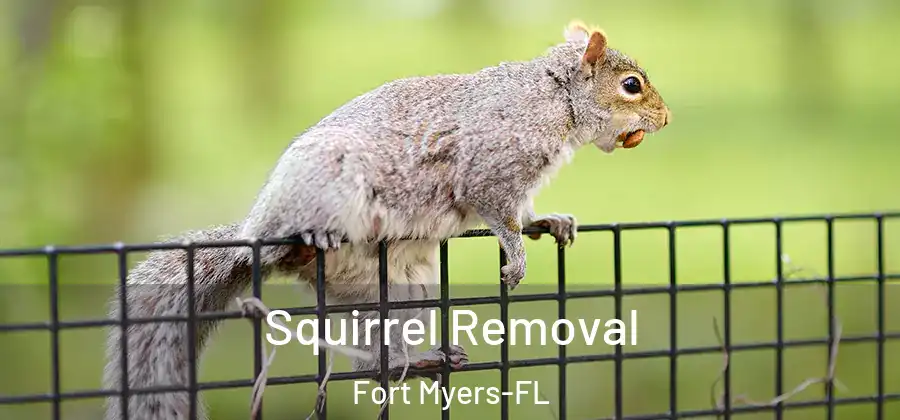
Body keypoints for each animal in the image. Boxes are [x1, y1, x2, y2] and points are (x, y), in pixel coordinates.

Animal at [102, 20, 670, 420]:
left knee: (375, 364)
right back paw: (308, 239)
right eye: (631, 85)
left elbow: (524, 212)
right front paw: (516, 257)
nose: (665, 120)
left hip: (399, 292)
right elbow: (498, 214)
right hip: (325, 188)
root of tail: (252, 235)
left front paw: (550, 222)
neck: (554, 98)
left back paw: (418, 361)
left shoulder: (519, 184)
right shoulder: (489, 168)